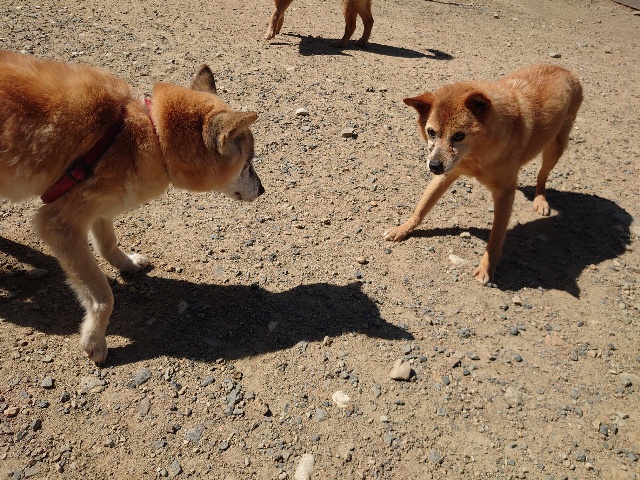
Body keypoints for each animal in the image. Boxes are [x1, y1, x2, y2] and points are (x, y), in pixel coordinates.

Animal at [0, 50, 264, 363]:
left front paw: (126, 264)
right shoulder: (58, 223)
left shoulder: (97, 205)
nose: (263, 190)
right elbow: (103, 296)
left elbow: (108, 244)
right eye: (248, 163)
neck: (146, 134)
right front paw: (94, 340)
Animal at [384, 64, 583, 284]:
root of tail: (566, 70)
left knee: (542, 175)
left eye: (459, 135)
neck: (475, 156)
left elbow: (495, 237)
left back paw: (540, 200)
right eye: (431, 132)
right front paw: (403, 229)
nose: (433, 166)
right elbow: (422, 207)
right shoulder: (447, 174)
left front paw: (486, 268)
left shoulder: (504, 193)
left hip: (555, 148)